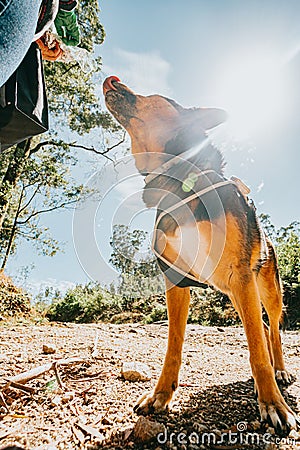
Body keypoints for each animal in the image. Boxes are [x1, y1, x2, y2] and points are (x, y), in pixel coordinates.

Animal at [103, 75, 298, 430]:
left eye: (154, 97)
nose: (112, 80)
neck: (182, 184)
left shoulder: (241, 276)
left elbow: (256, 350)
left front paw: (272, 404)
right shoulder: (177, 280)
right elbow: (174, 345)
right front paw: (161, 394)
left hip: (263, 288)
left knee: (273, 330)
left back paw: (279, 371)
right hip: (235, 291)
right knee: (262, 329)